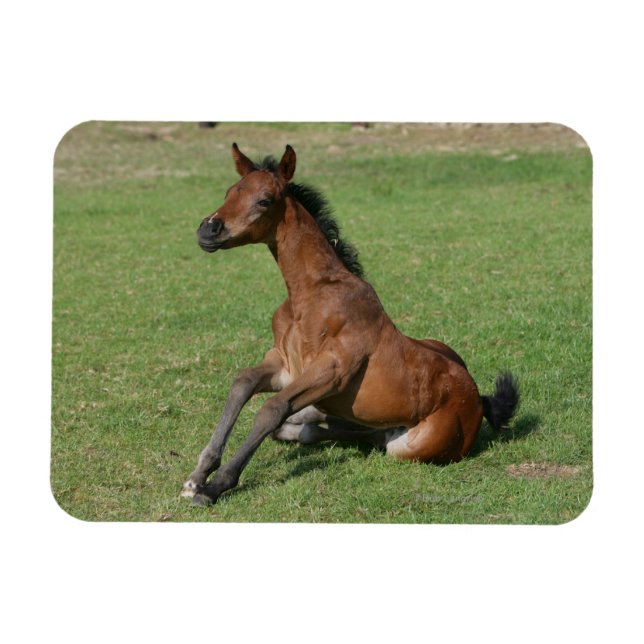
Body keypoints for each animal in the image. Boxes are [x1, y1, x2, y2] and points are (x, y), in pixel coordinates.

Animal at [181, 143, 519, 506]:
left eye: (264, 200)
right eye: (229, 192)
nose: (208, 230)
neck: (310, 294)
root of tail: (476, 397)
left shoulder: (332, 371)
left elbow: (272, 408)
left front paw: (215, 486)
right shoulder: (284, 366)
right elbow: (242, 383)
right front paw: (197, 476)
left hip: (407, 446)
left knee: (369, 436)